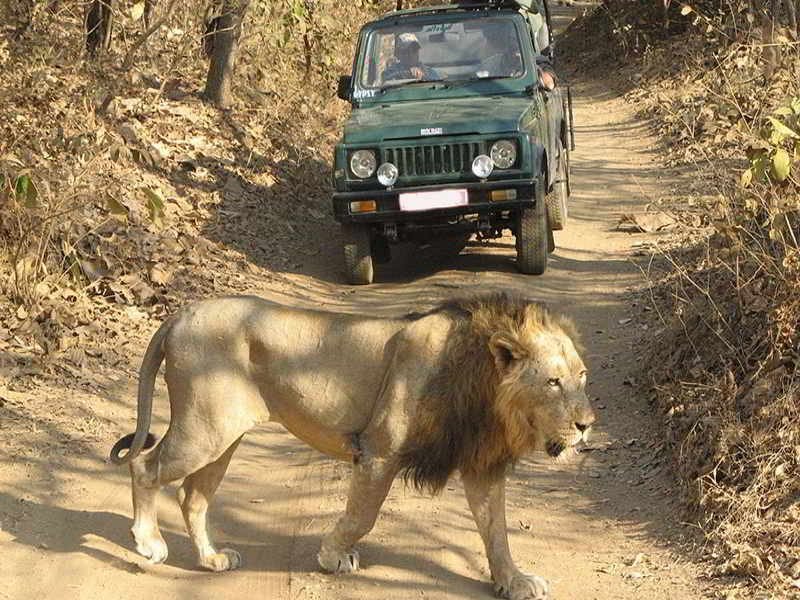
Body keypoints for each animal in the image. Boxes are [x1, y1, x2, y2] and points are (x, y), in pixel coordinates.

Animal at [109, 292, 592, 596]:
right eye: (553, 382)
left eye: (583, 377)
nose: (587, 425)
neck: (487, 389)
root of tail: (181, 314)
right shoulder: (379, 449)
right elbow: (363, 515)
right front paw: (332, 556)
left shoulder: (481, 464)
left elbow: (497, 532)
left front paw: (514, 581)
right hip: (204, 429)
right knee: (144, 467)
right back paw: (149, 543)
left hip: (223, 434)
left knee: (192, 496)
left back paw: (211, 559)